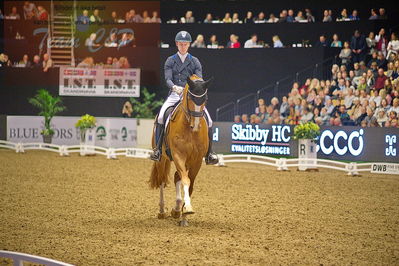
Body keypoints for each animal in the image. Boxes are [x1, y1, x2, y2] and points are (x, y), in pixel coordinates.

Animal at [150, 75, 212, 227]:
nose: (195, 126)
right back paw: (162, 211)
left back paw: (177, 209)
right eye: (189, 97)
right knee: (162, 180)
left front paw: (184, 215)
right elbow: (185, 181)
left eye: (205, 98)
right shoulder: (179, 156)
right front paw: (187, 208)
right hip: (162, 159)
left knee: (176, 177)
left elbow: (190, 184)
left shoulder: (196, 161)